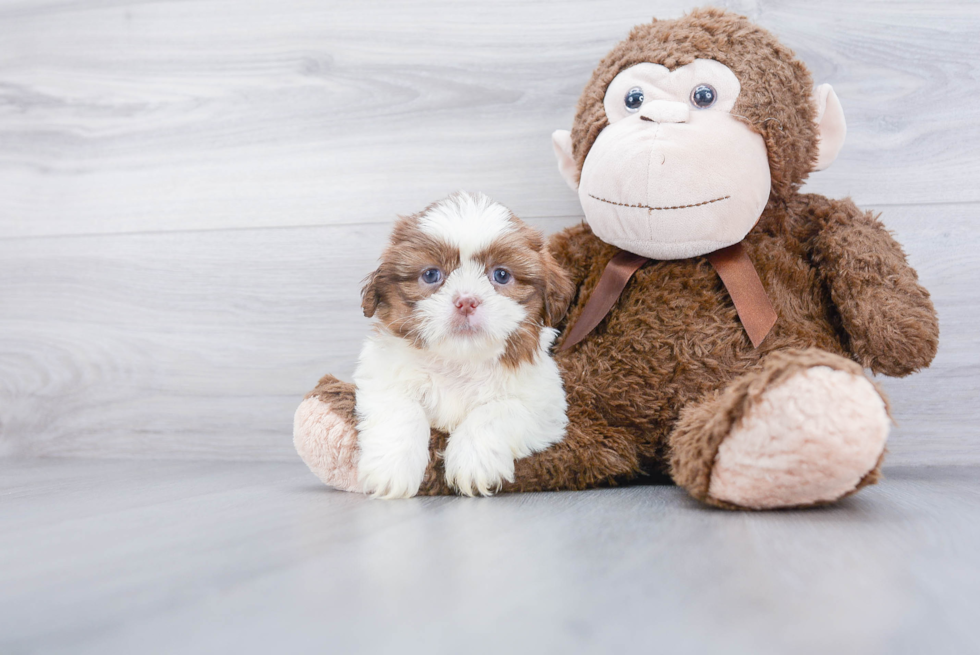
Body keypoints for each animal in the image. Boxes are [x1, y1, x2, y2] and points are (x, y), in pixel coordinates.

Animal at [354, 192, 576, 500]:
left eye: (501, 275)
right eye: (431, 275)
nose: (467, 301)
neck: (459, 361)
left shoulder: (543, 403)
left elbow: (495, 413)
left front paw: (472, 462)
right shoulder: (384, 377)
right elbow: (402, 411)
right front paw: (391, 469)